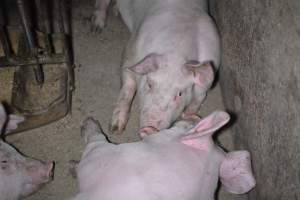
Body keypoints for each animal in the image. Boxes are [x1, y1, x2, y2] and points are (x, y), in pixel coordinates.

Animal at [91, 0, 220, 134]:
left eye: (180, 94)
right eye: (149, 84)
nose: (150, 129)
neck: (177, 53)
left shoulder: (205, 86)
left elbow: (197, 101)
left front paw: (190, 117)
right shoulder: (131, 51)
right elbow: (128, 85)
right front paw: (115, 129)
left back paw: (115, 11)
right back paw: (96, 28)